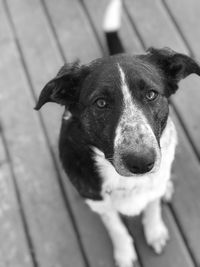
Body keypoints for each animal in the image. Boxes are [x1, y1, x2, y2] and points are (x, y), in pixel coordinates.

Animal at [34, 1, 200, 266]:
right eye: (100, 103)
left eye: (151, 94)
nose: (141, 163)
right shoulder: (100, 203)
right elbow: (115, 227)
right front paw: (124, 252)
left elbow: (152, 206)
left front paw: (154, 231)